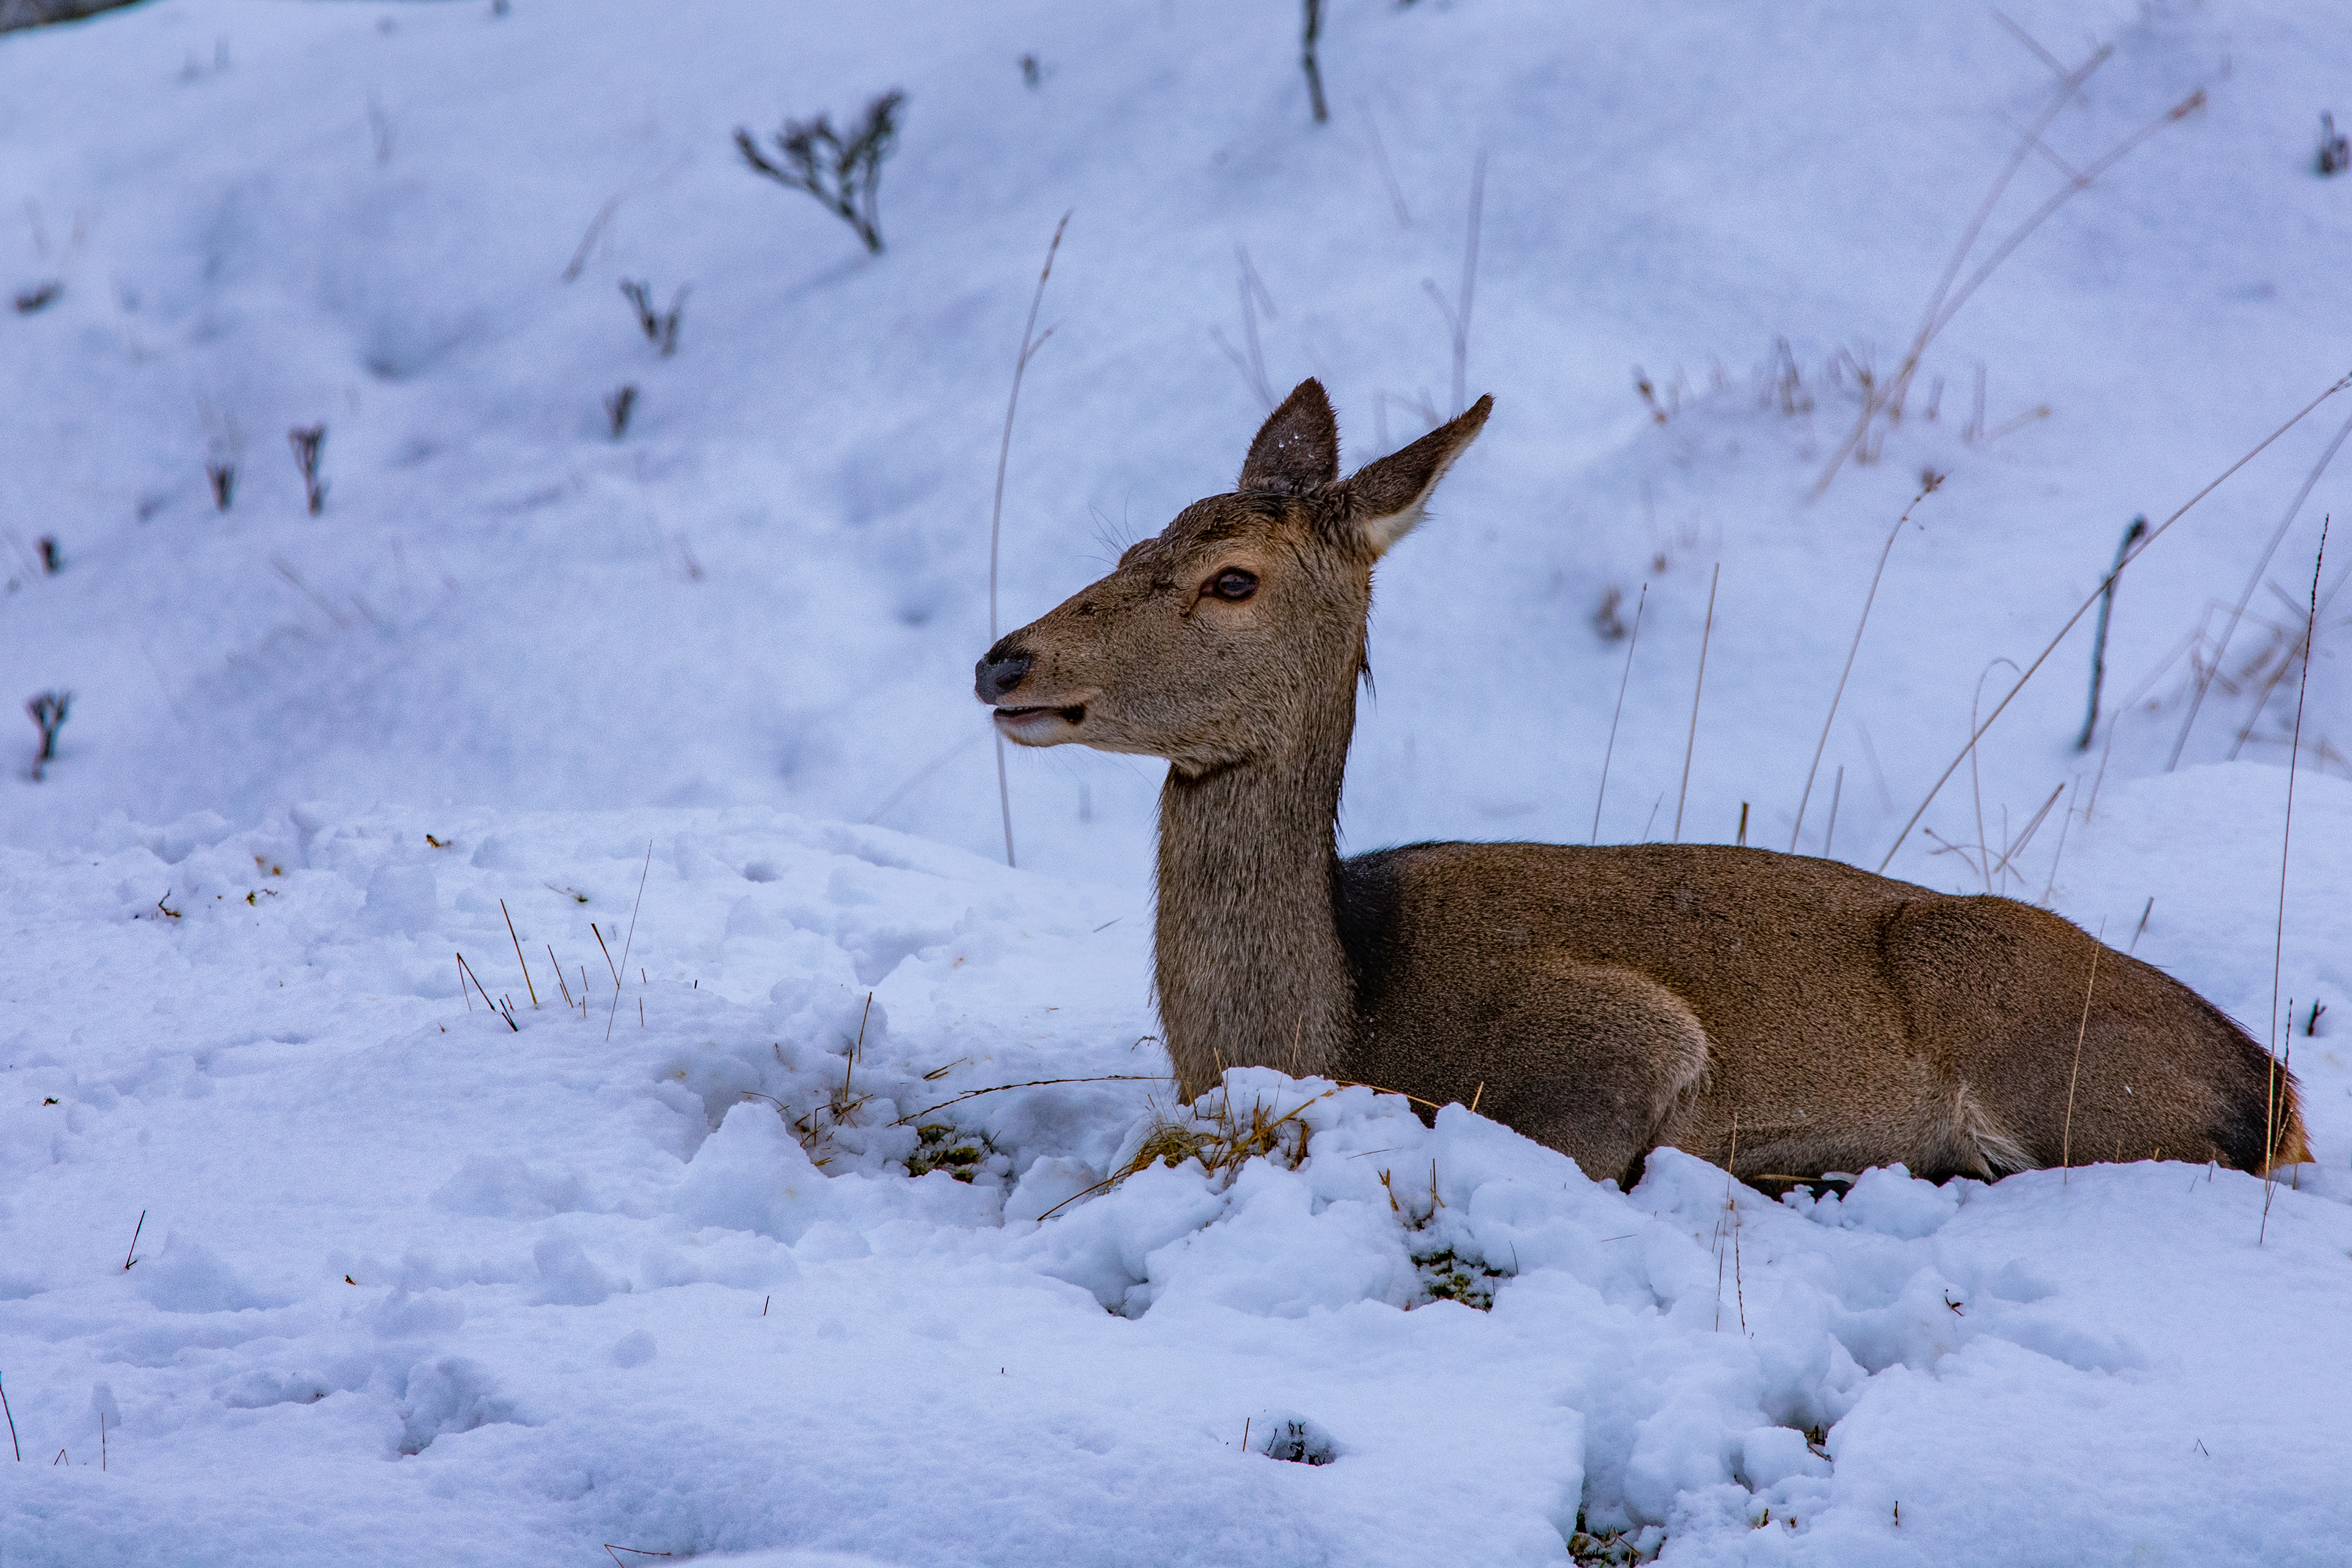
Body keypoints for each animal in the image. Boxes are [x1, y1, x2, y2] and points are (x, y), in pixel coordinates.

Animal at [974, 379, 2307, 1190]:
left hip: (2062, 1060)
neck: (1330, 1023)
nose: (1005, 660)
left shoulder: (1617, 1033)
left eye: (1234, 580)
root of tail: (2275, 1091)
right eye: (1132, 545)